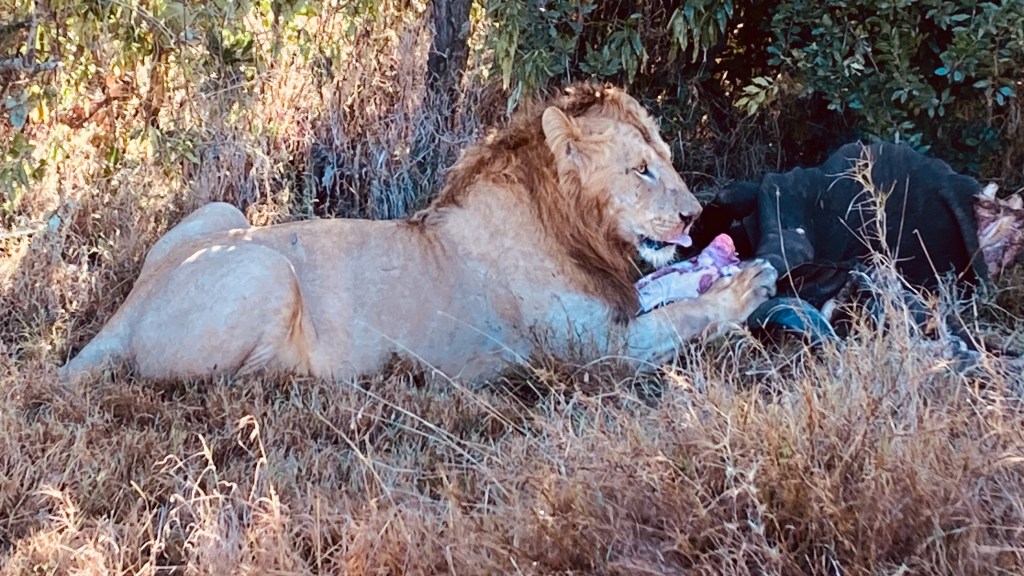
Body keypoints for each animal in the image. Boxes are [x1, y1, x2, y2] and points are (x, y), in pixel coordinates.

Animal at [58, 84, 777, 384]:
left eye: (667, 160)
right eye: (640, 170)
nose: (693, 215)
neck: (568, 226)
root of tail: (128, 308)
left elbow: (670, 290)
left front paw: (716, 271)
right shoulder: (596, 353)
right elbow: (680, 316)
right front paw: (747, 286)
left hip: (221, 214)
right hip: (266, 270)